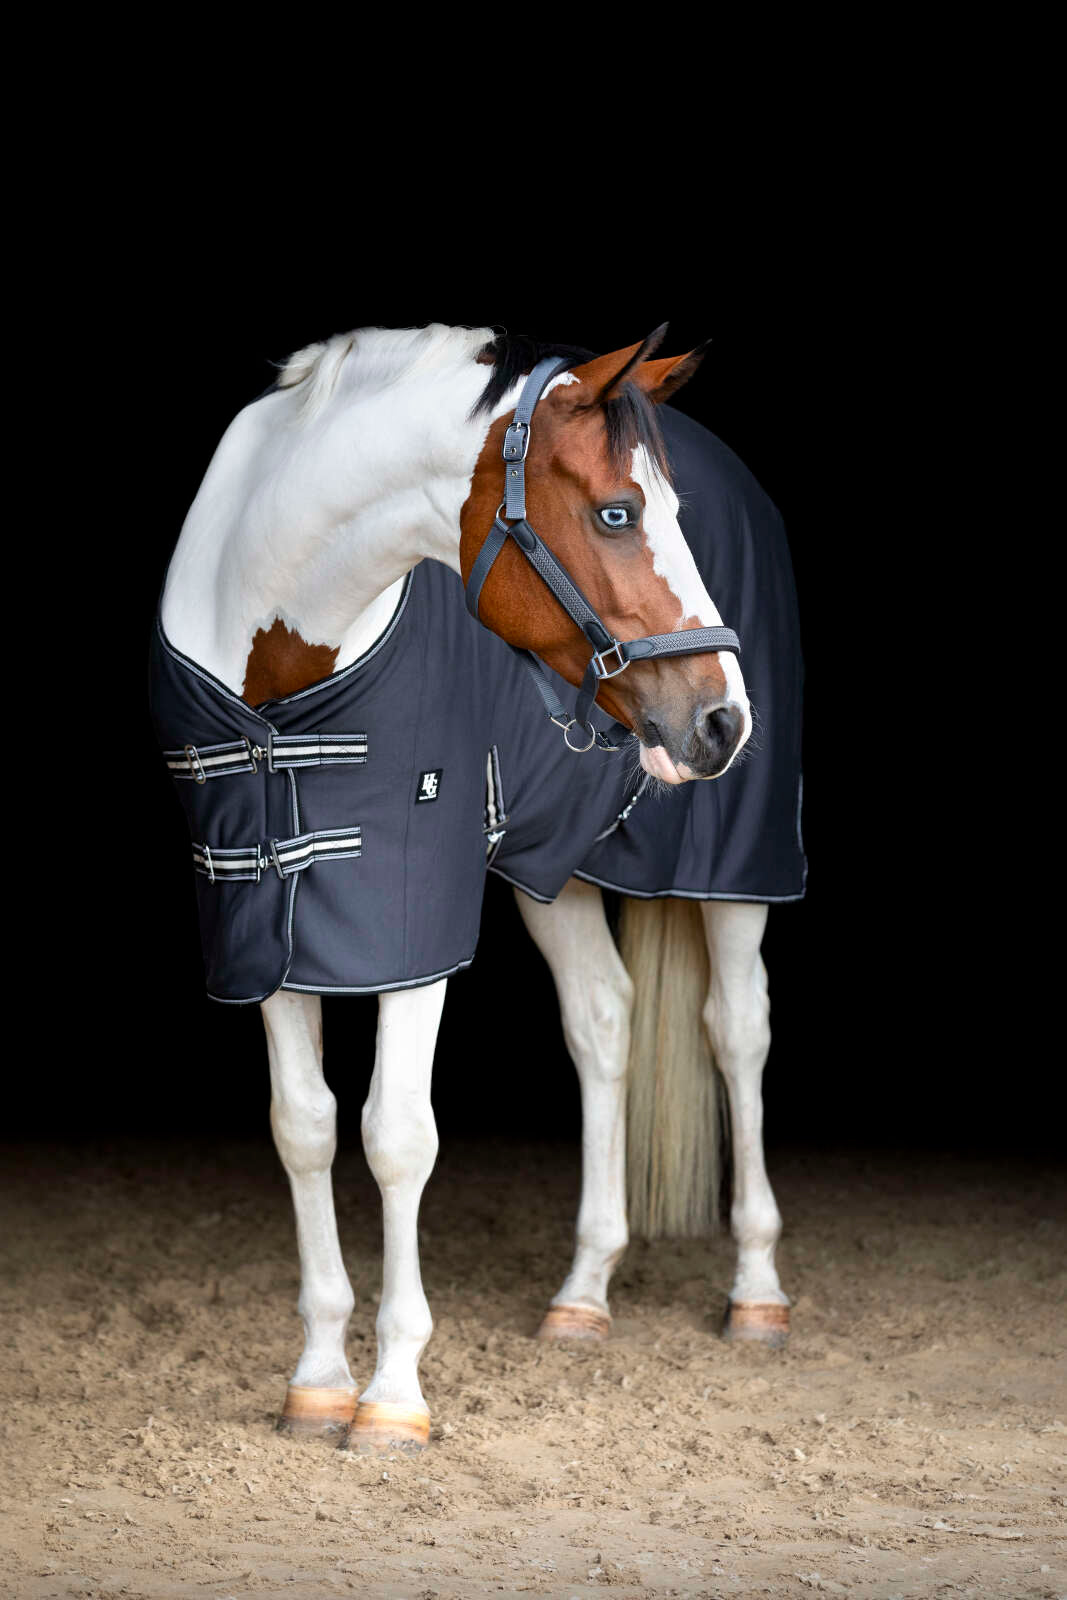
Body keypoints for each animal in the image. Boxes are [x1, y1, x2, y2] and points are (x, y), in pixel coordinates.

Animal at [151, 322, 803, 1452]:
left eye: (662, 513)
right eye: (617, 512)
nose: (723, 720)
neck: (281, 665)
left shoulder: (415, 913)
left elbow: (395, 1135)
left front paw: (391, 1395)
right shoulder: (260, 922)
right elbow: (304, 1127)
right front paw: (317, 1377)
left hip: (735, 865)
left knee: (737, 1029)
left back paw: (755, 1292)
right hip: (552, 871)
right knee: (602, 1019)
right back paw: (582, 1294)